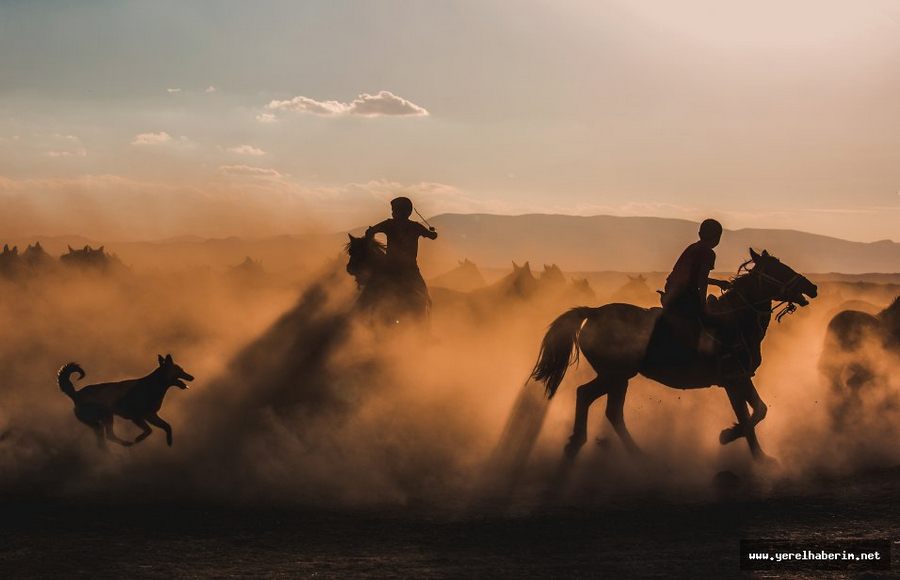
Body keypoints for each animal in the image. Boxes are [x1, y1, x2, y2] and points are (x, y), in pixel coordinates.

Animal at [57, 354, 194, 448]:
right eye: (180, 370)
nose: (192, 377)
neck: (154, 385)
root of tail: (76, 394)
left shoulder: (151, 415)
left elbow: (167, 426)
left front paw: (169, 441)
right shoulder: (137, 417)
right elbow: (149, 430)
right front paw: (139, 439)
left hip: (103, 419)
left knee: (105, 437)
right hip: (107, 416)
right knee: (108, 435)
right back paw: (124, 444)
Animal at [532, 249, 820, 462]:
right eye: (777, 269)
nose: (812, 287)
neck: (736, 318)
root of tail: (593, 312)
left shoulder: (740, 379)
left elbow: (759, 409)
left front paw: (750, 448)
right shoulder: (733, 379)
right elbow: (750, 416)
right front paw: (739, 443)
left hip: (617, 377)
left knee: (609, 410)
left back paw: (626, 453)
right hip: (615, 374)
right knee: (588, 396)